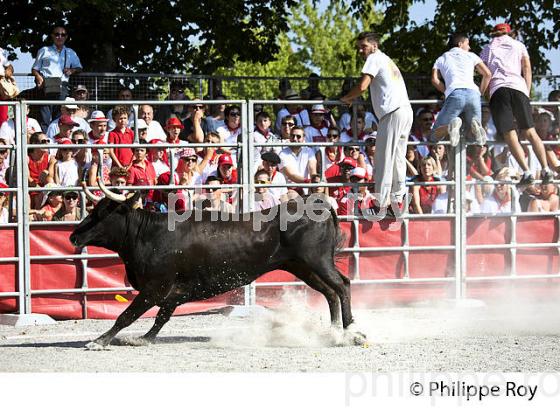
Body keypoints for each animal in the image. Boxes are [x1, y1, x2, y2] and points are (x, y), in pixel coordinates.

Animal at [71, 181, 368, 348]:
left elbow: (127, 315)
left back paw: (351, 332)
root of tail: (316, 203)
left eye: (102, 213)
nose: (74, 236)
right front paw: (143, 338)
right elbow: (161, 317)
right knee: (330, 292)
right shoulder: (173, 293)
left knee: (342, 285)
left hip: (317, 261)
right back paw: (334, 332)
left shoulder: (155, 288)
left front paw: (98, 341)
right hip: (302, 267)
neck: (150, 234)